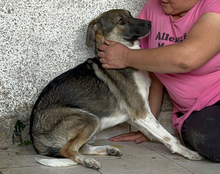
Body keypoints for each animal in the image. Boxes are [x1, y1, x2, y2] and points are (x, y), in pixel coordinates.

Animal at [29, 9, 203, 170]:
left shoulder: (136, 115)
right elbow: (167, 137)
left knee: (80, 147)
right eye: (121, 21)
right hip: (89, 118)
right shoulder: (140, 112)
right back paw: (88, 161)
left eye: (130, 14)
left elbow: (155, 133)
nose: (149, 23)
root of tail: (34, 139)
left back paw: (108, 150)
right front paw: (187, 152)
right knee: (68, 150)